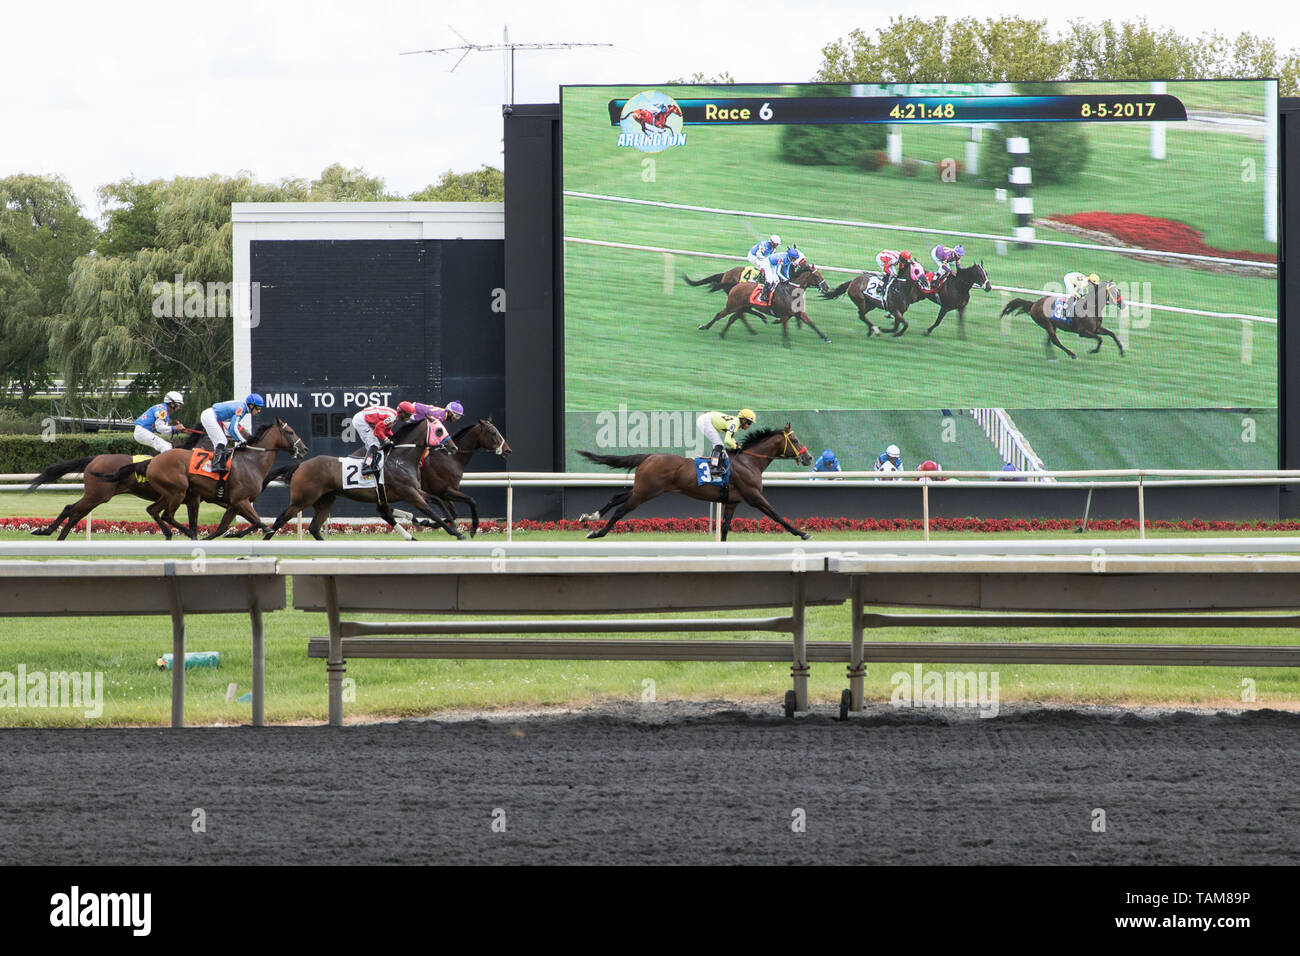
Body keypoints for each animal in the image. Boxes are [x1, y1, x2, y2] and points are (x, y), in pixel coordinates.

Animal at [27, 429, 206, 541]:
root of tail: (95, 458)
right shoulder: (185, 497)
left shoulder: (186, 498)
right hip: (97, 495)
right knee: (72, 510)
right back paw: (49, 532)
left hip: (94, 496)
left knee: (74, 512)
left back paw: (54, 535)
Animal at [260, 421, 462, 546]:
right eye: (439, 430)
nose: (453, 447)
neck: (400, 459)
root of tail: (301, 464)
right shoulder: (408, 493)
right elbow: (430, 510)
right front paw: (456, 532)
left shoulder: (414, 491)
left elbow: (437, 500)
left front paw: (451, 523)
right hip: (302, 500)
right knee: (281, 519)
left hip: (325, 500)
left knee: (314, 527)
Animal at [579, 424, 811, 541]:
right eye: (795, 440)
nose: (808, 458)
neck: (749, 461)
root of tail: (649, 456)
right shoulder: (754, 496)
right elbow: (777, 515)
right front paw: (802, 533)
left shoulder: (733, 502)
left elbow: (725, 528)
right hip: (646, 492)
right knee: (621, 510)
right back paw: (597, 532)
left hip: (642, 488)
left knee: (616, 497)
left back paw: (590, 516)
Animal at [702, 264, 832, 345]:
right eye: (817, 276)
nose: (826, 288)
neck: (790, 291)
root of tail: (736, 284)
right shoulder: (785, 314)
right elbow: (785, 327)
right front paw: (786, 342)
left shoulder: (798, 312)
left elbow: (812, 324)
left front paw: (825, 338)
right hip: (732, 305)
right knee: (720, 315)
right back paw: (705, 327)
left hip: (741, 307)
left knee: (734, 318)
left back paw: (725, 333)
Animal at [993, 283, 1128, 361]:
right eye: (1114, 292)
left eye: (1118, 291)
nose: (1123, 304)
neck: (1089, 307)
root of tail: (1034, 304)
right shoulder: (1083, 332)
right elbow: (1100, 339)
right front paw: (1093, 350)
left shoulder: (1096, 328)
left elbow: (1112, 334)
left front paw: (1122, 351)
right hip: (1046, 323)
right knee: (1055, 340)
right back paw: (1071, 354)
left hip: (1051, 325)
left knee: (1049, 341)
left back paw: (1051, 357)